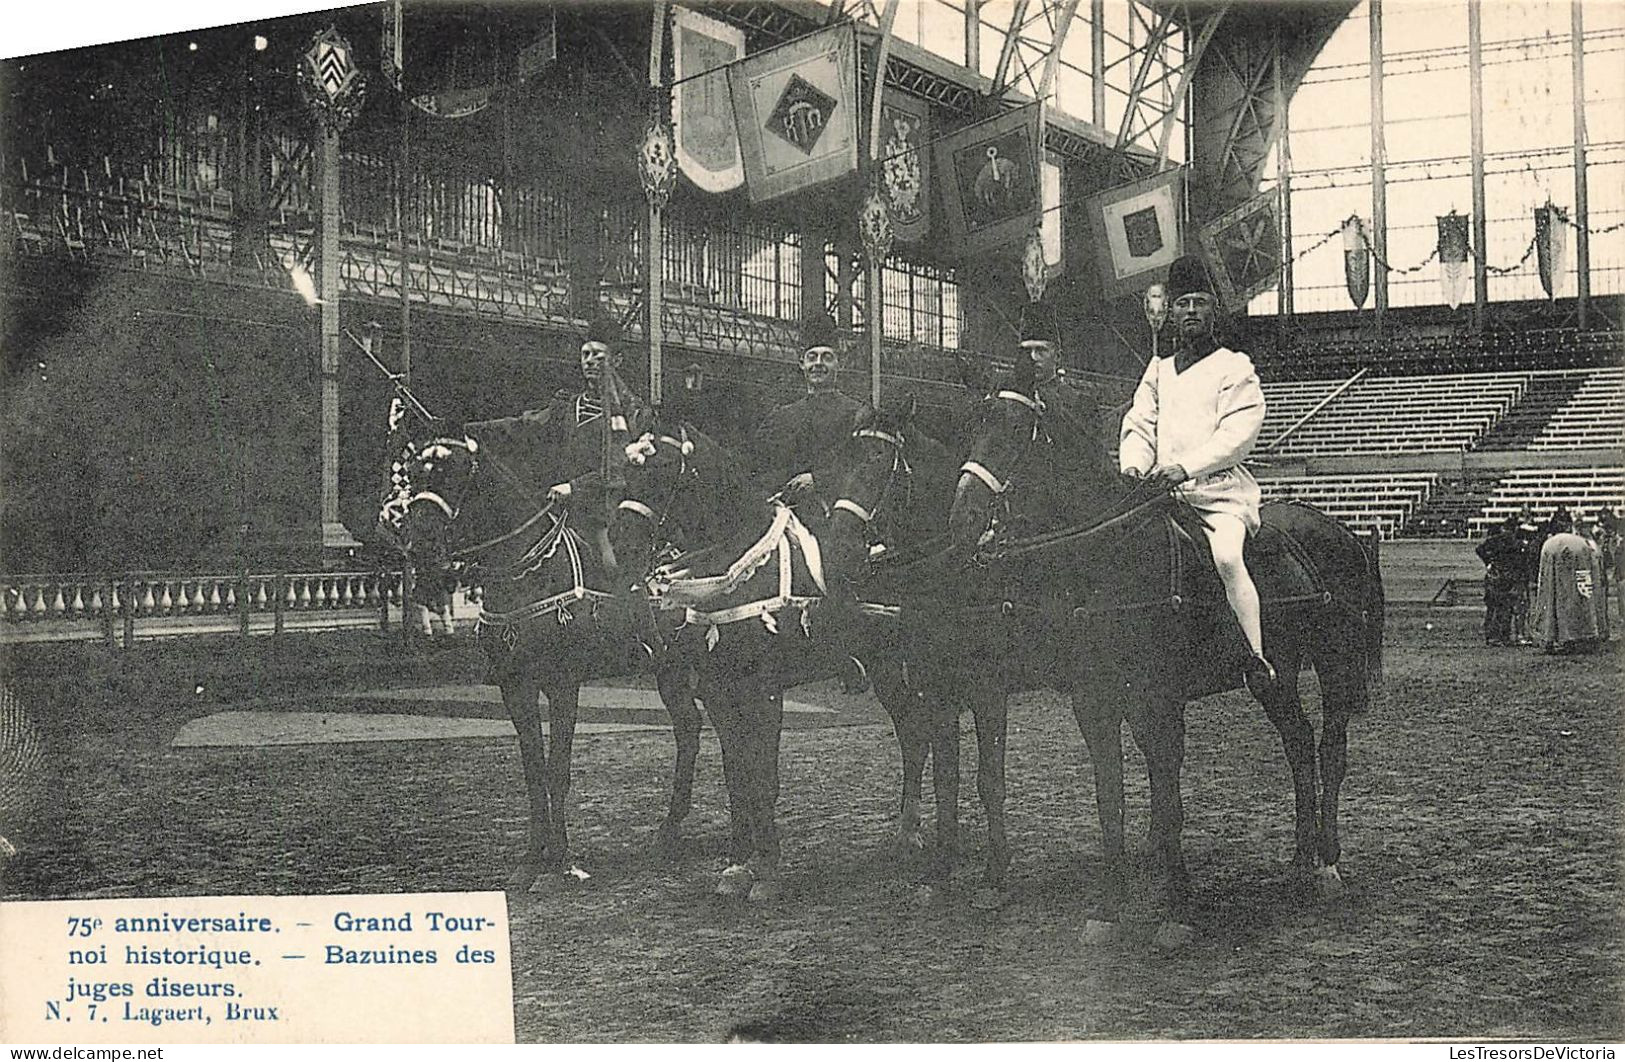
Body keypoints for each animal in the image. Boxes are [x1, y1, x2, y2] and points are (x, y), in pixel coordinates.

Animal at [393, 412, 705, 896]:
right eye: (415, 473)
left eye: (454, 472)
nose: (419, 544)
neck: (527, 571)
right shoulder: (515, 686)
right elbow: (533, 770)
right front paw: (531, 859)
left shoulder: (562, 683)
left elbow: (557, 768)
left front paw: (562, 860)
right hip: (668, 668)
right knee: (689, 730)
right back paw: (669, 832)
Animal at [942, 375, 1384, 948]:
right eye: (973, 423)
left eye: (1017, 431)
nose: (963, 519)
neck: (1113, 558)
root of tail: (1346, 532)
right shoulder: (1094, 700)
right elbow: (1110, 797)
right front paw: (1109, 909)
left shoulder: (1159, 700)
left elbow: (1168, 795)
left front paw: (1175, 909)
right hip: (1274, 675)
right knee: (1298, 744)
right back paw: (1300, 861)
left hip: (1337, 664)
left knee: (1330, 750)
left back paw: (1327, 864)